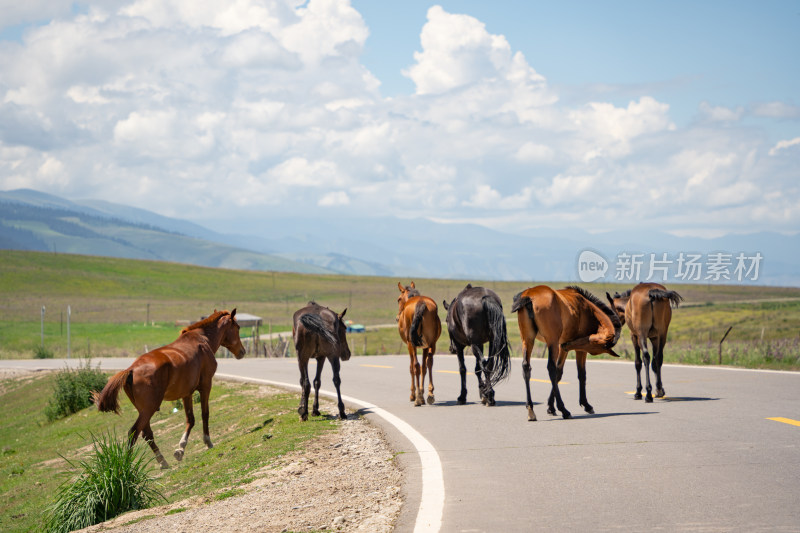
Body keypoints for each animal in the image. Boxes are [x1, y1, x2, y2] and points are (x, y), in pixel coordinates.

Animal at [93, 310, 244, 468]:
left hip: (144, 410)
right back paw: (128, 465)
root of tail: (131, 370)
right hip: (149, 409)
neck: (202, 340)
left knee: (146, 433)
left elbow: (190, 419)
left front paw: (180, 450)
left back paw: (162, 461)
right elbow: (205, 414)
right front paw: (208, 441)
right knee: (134, 432)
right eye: (238, 327)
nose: (242, 351)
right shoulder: (206, 386)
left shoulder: (186, 394)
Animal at [512, 286, 624, 420]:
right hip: (552, 342)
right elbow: (580, 374)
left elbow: (559, 373)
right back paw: (564, 410)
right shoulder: (578, 350)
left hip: (528, 340)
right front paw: (586, 404)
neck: (588, 308)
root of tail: (529, 296)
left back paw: (531, 409)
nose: (567, 345)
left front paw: (551, 407)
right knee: (551, 368)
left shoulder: (563, 347)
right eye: (593, 343)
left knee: (526, 367)